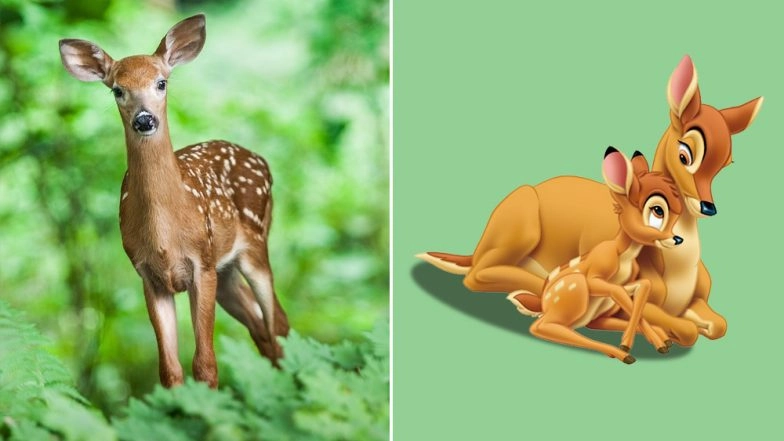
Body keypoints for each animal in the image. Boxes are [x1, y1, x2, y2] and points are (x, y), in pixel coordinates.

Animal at [59, 14, 289, 388]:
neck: (165, 234)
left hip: (254, 244)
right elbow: (169, 370)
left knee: (278, 323)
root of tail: (261, 160)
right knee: (261, 329)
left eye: (161, 82)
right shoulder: (148, 276)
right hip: (226, 273)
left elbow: (205, 365)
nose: (144, 119)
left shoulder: (201, 264)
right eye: (117, 89)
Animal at [508, 147, 682, 363]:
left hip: (599, 310)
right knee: (540, 327)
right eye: (658, 210)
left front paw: (660, 342)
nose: (677, 239)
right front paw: (629, 345)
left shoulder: (625, 283)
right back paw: (623, 354)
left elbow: (644, 285)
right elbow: (619, 291)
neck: (623, 255)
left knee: (588, 325)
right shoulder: (597, 272)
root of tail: (542, 305)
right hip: (576, 289)